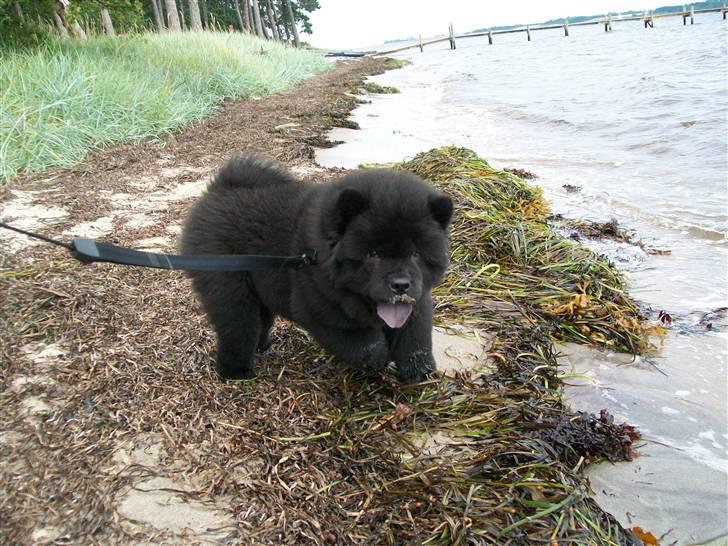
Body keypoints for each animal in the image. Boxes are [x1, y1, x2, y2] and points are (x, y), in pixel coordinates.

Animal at [180, 154, 452, 382]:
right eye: (373, 254)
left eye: (416, 254)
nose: (401, 284)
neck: (318, 255)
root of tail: (219, 190)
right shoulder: (319, 310)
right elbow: (363, 344)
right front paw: (379, 358)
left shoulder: (419, 301)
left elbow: (415, 338)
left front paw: (420, 371)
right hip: (231, 290)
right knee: (237, 328)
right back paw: (236, 373)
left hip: (260, 290)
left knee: (259, 321)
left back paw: (261, 346)